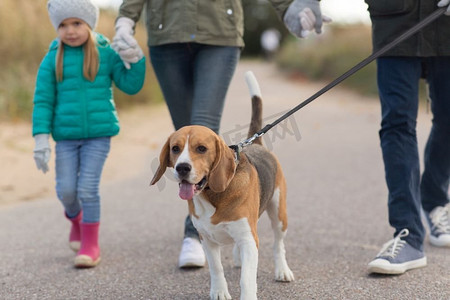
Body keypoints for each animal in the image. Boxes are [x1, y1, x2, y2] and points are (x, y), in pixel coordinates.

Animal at [149, 71, 294, 298]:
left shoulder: (248, 239)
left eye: (201, 148)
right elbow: (216, 268)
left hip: (279, 214)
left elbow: (246, 279)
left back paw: (282, 270)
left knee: (278, 245)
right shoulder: (207, 239)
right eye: (175, 148)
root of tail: (256, 143)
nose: (182, 168)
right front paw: (219, 291)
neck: (212, 196)